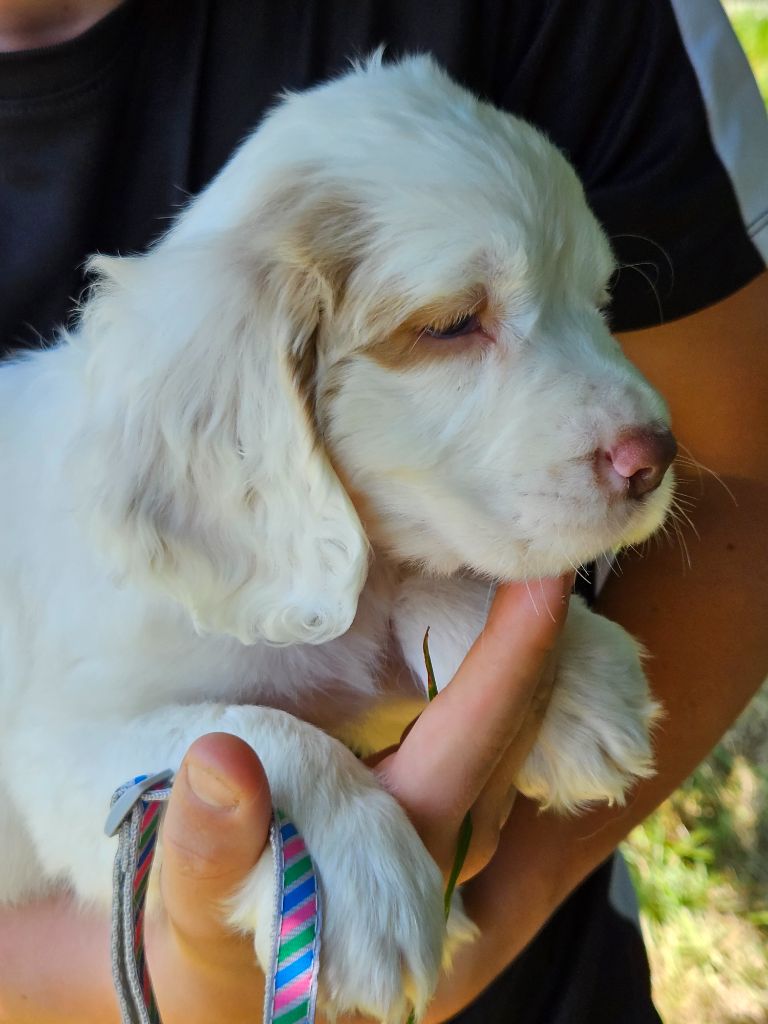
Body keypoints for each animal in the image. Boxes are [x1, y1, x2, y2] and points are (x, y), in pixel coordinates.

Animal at [0, 54, 671, 1024]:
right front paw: (357, 879)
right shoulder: (53, 750)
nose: (656, 458)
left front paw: (577, 679)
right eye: (451, 324)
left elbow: (414, 577)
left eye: (599, 299)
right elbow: (242, 731)